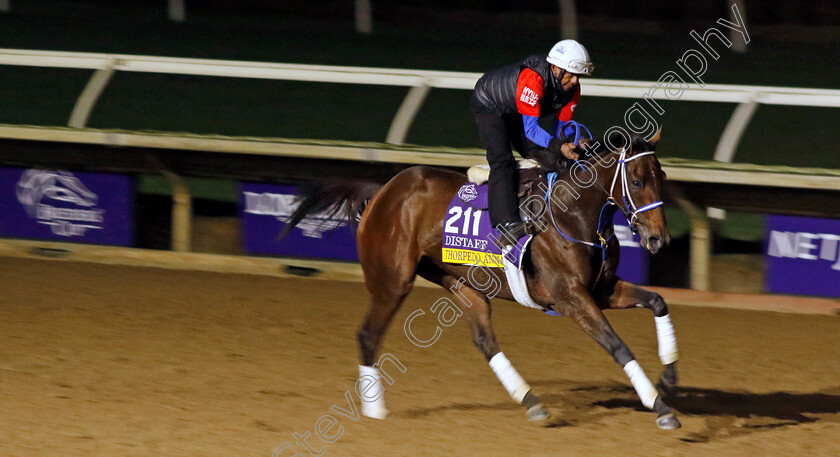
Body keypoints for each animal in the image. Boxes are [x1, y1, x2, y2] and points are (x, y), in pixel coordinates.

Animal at [286, 127, 680, 428]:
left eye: (661, 178)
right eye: (637, 180)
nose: (659, 240)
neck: (573, 214)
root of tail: (381, 192)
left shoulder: (602, 290)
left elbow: (658, 301)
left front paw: (670, 380)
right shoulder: (570, 296)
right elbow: (617, 345)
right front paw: (659, 406)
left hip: (460, 283)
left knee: (484, 339)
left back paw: (531, 401)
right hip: (393, 280)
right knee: (368, 334)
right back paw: (375, 410)